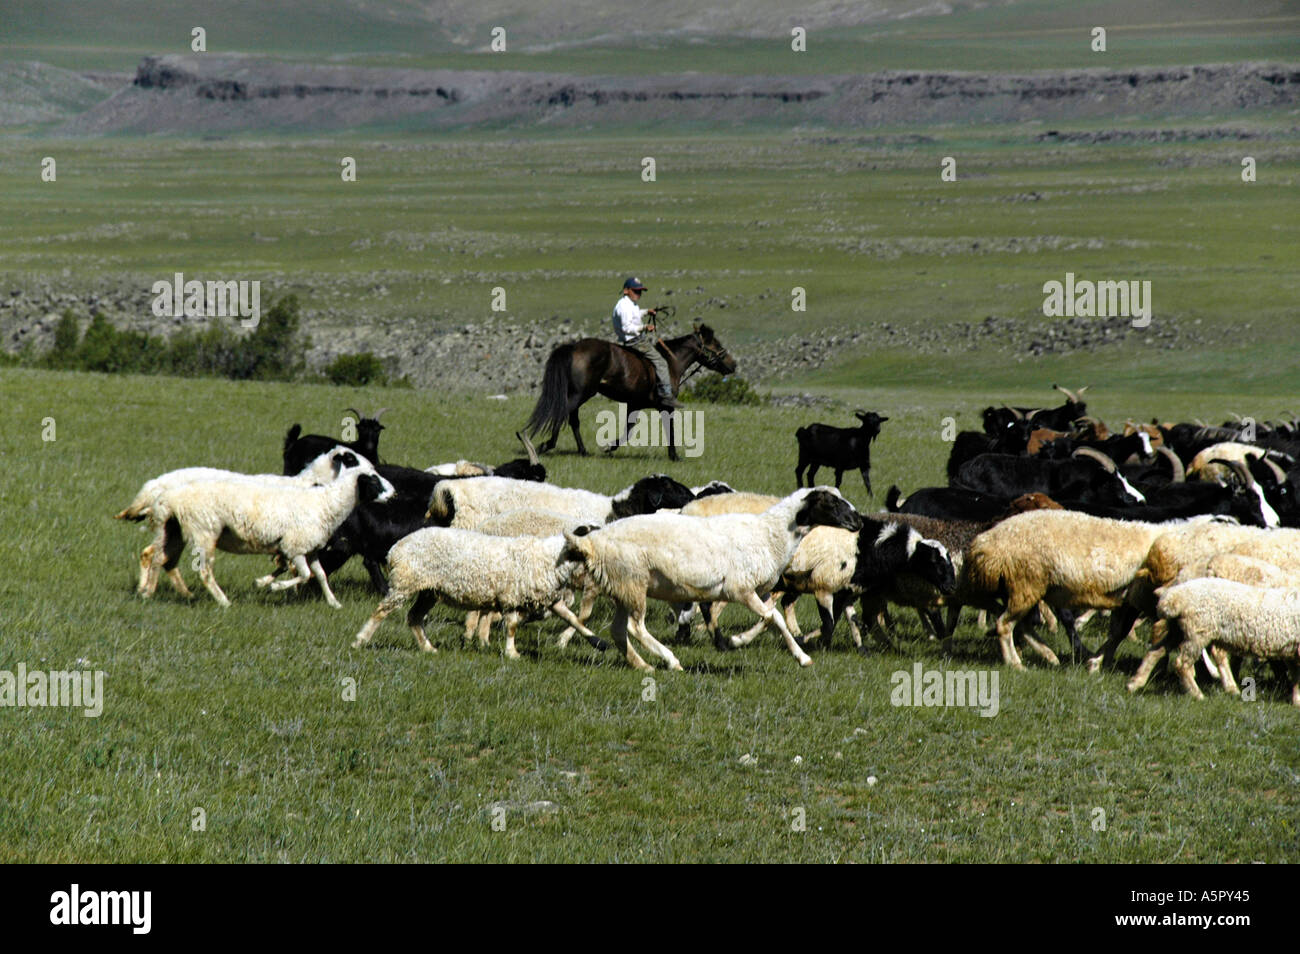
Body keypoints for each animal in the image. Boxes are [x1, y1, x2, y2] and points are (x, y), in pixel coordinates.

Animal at [348, 527, 595, 660]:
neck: (550, 558)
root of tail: (395, 549)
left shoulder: (541, 599)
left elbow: (572, 619)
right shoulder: (510, 596)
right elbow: (512, 627)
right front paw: (512, 653)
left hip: (429, 590)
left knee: (414, 617)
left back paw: (428, 647)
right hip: (405, 582)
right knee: (381, 612)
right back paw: (360, 641)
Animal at [522, 324, 738, 462]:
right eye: (717, 345)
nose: (733, 365)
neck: (671, 362)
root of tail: (574, 347)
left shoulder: (634, 405)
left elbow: (628, 429)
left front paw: (610, 446)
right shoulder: (666, 406)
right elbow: (670, 430)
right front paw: (675, 456)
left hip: (577, 394)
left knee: (573, 419)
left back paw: (582, 451)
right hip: (581, 394)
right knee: (563, 414)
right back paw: (544, 444)